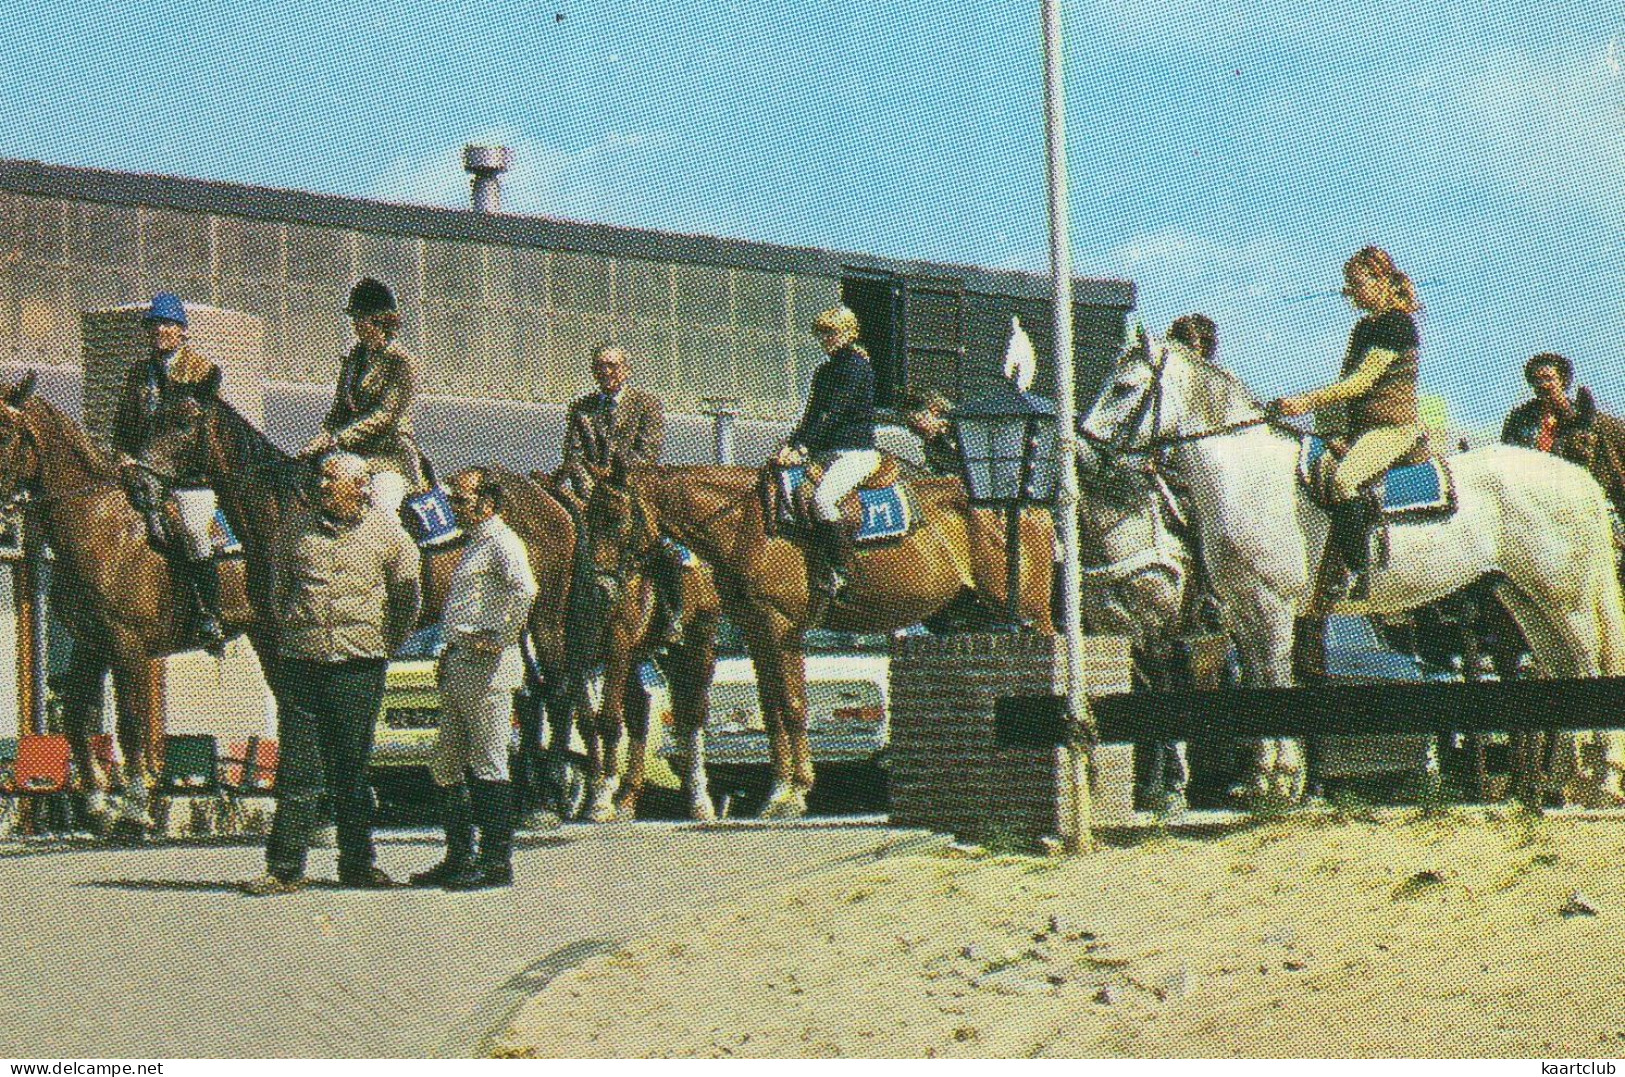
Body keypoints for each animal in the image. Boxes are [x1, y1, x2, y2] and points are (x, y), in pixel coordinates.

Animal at [585, 461, 1053, 818]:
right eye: (587, 516)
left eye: (615, 516)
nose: (604, 586)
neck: (748, 527)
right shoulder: (757, 631)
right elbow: (772, 709)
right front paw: (778, 790)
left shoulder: (781, 628)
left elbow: (793, 706)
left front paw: (796, 791)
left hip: (1027, 611)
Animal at [1079, 341, 1625, 805]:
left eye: (1123, 387)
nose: (1083, 454)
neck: (1251, 481)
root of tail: (1578, 478)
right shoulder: (1243, 615)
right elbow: (1257, 682)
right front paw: (1260, 781)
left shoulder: (1271, 610)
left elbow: (1275, 680)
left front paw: (1280, 781)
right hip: (1523, 596)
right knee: (1565, 668)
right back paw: (1564, 781)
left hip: (1568, 599)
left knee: (1590, 663)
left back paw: (1601, 779)